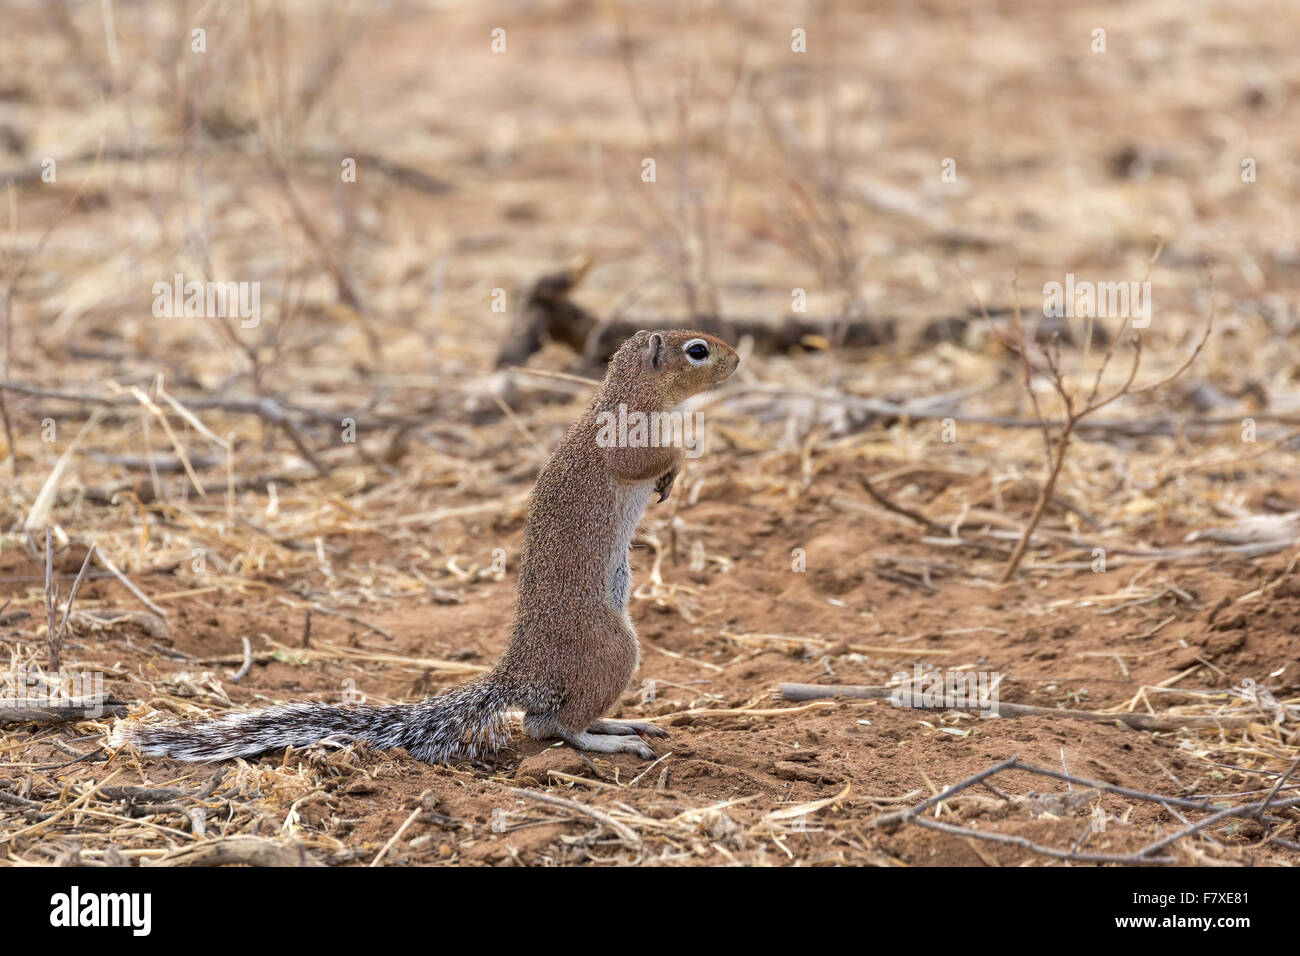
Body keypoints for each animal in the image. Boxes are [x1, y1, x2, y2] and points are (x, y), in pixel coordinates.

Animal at [116, 329, 738, 764]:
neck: (632, 391)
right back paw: (611, 740)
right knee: (554, 727)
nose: (738, 361)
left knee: (548, 719)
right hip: (612, 648)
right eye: (698, 350)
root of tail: (520, 671)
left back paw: (621, 723)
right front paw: (678, 461)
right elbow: (645, 458)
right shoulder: (622, 440)